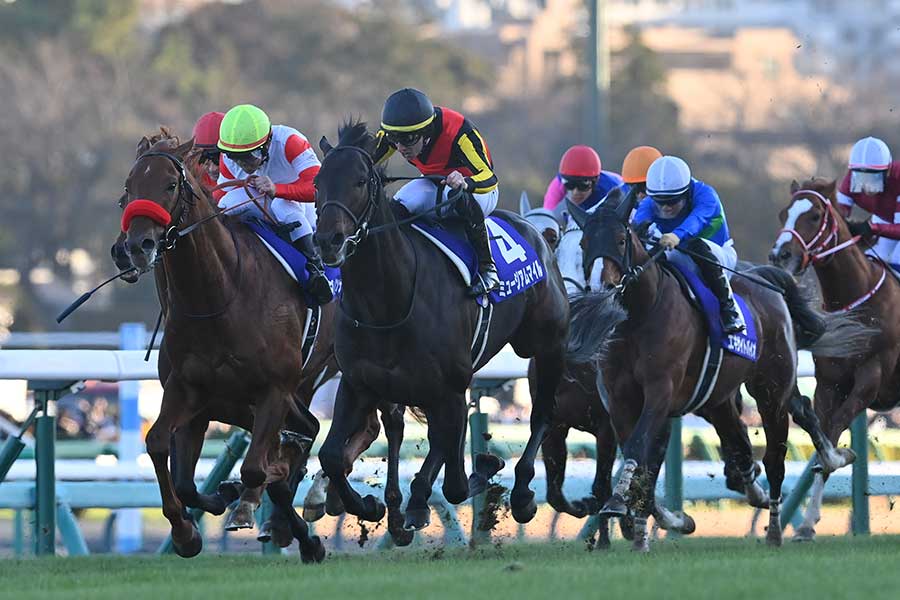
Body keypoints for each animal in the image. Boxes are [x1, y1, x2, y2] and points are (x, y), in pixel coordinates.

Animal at [311, 120, 569, 530]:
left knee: (543, 411)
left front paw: (487, 465)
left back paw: (523, 493)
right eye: (318, 182)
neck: (387, 302)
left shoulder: (451, 387)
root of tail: (534, 230)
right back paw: (416, 500)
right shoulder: (357, 383)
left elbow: (457, 484)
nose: (328, 241)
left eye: (361, 181)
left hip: (545, 346)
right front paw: (368, 505)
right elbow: (332, 456)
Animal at [566, 188, 872, 551]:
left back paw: (775, 528)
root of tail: (764, 280)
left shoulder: (660, 392)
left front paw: (621, 507)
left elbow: (640, 448)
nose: (603, 287)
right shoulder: (619, 400)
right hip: (722, 397)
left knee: (776, 455)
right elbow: (640, 460)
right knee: (772, 425)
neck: (639, 317)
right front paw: (655, 527)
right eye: (584, 242)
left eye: (621, 239)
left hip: (770, 390)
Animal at [769, 177, 900, 541]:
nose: (780, 255)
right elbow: (821, 432)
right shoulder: (828, 384)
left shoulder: (869, 380)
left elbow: (835, 427)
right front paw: (806, 525)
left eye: (814, 215)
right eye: (784, 213)